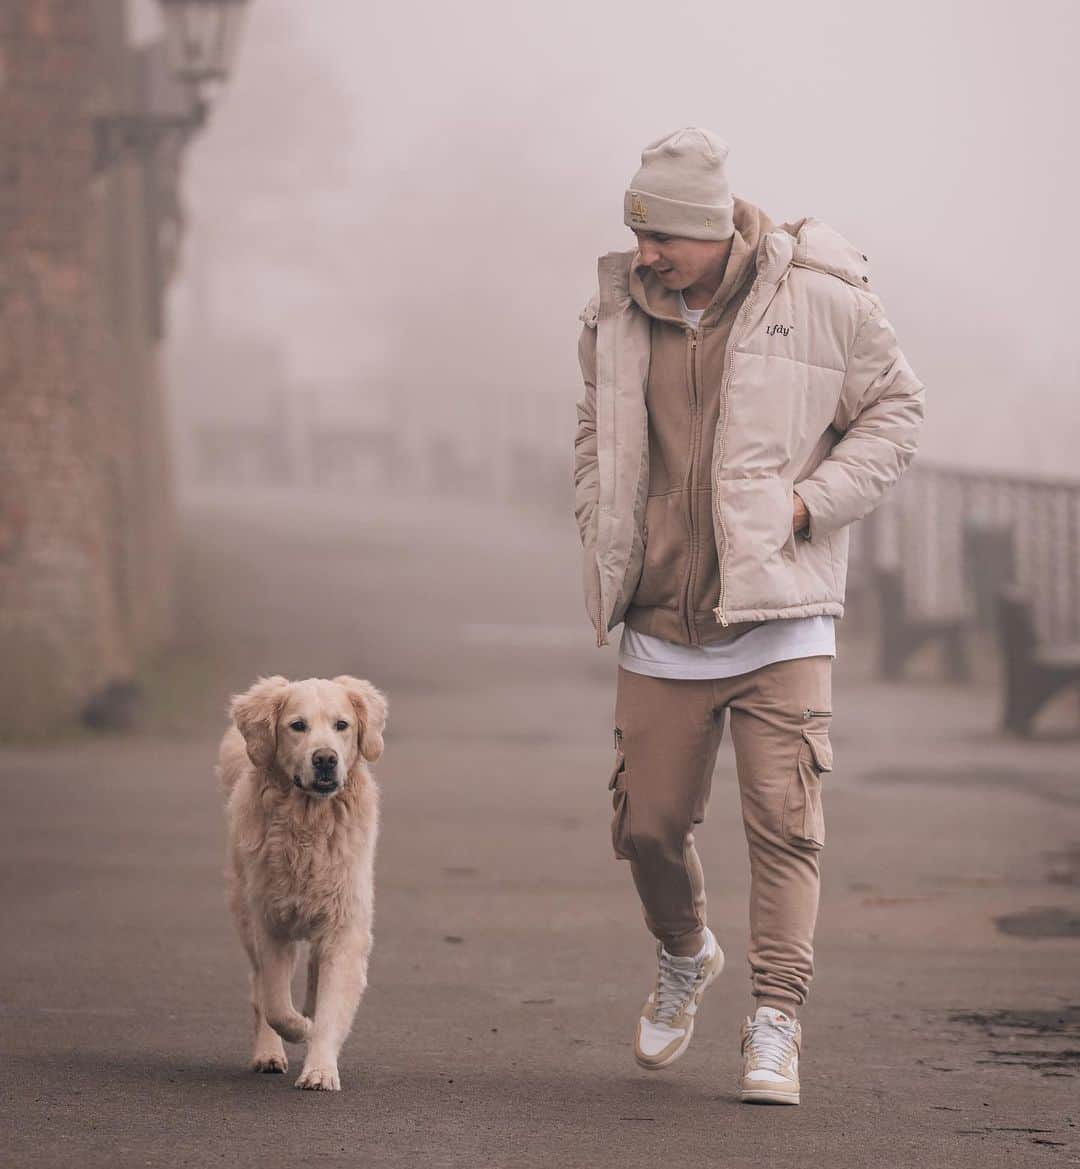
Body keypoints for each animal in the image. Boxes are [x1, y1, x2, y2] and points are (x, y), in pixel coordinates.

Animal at [215, 673, 388, 1089]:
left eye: (342, 725)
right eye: (297, 726)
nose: (325, 758)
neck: (309, 822)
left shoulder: (345, 925)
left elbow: (331, 1004)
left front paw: (320, 1070)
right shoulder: (271, 923)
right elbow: (276, 1004)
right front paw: (298, 1028)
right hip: (243, 911)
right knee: (259, 987)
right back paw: (268, 1052)